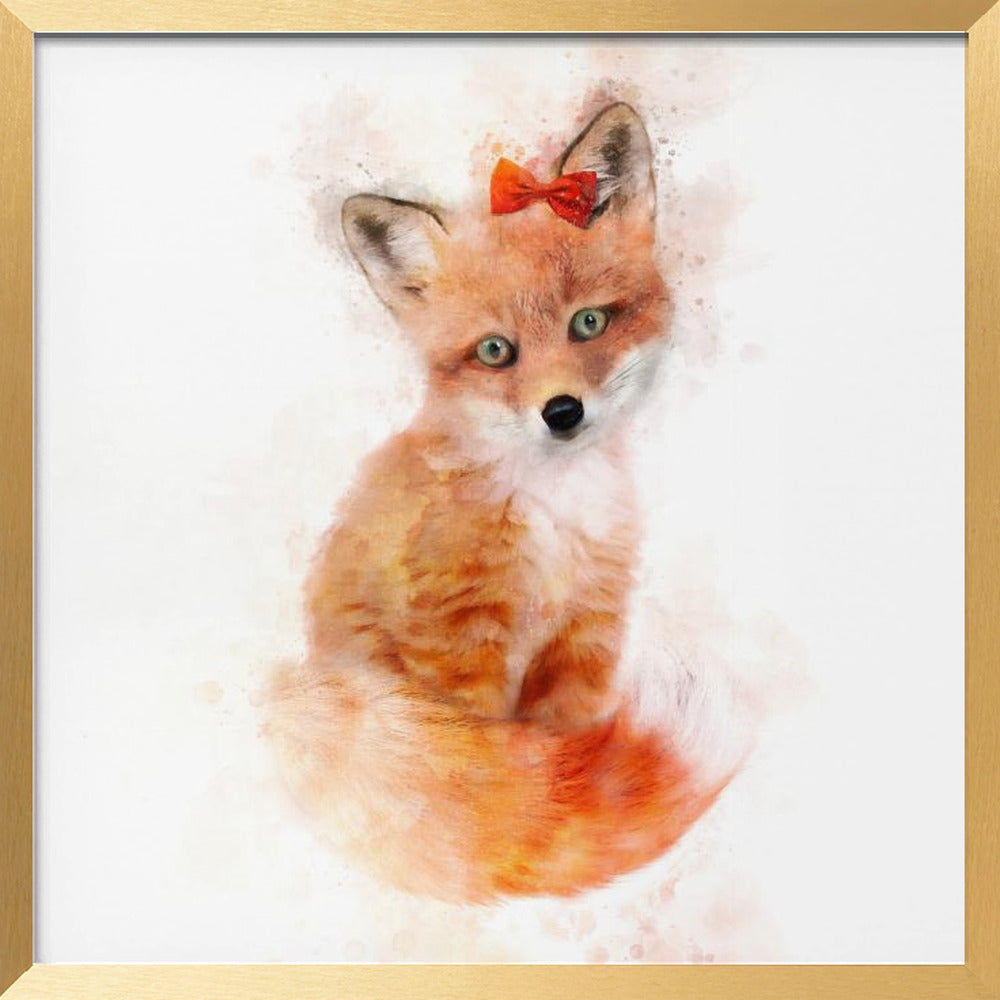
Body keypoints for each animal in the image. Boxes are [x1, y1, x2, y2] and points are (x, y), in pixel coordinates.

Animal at [266, 102, 736, 902]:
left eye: (588, 322)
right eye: (495, 351)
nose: (563, 412)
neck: (553, 515)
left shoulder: (582, 640)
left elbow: (565, 773)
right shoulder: (456, 648)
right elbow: (501, 792)